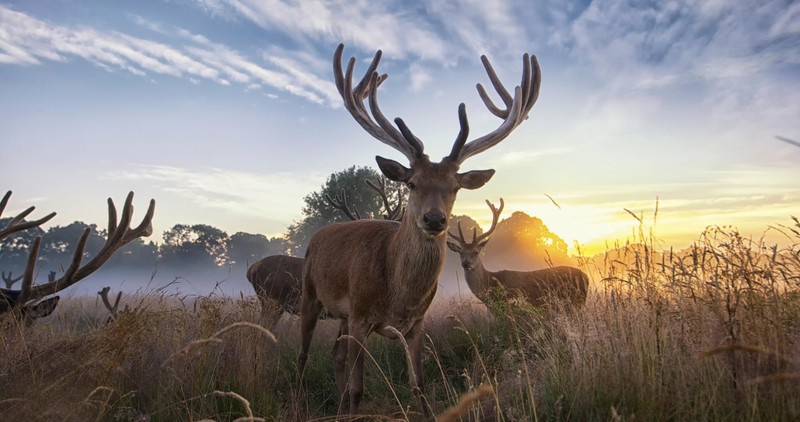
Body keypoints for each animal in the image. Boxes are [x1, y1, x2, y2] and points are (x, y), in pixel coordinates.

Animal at [296, 43, 540, 418]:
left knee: (335, 355)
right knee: (303, 355)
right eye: (411, 183)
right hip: (310, 294)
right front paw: (353, 406)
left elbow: (420, 386)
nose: (435, 219)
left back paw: (337, 410)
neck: (398, 295)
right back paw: (303, 404)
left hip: (341, 315)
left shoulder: (416, 324)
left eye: (455, 187)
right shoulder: (361, 314)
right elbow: (358, 388)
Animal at [444, 198, 588, 310]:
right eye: (460, 252)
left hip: (576, 302)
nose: (466, 263)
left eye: (476, 252)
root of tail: (586, 277)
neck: (490, 283)